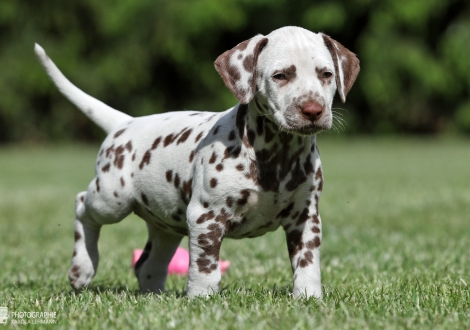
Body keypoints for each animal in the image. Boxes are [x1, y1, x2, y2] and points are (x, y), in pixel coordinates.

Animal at [35, 26, 360, 300]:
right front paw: (201, 299)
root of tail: (126, 123)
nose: (313, 110)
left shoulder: (305, 219)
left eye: (326, 74)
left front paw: (309, 298)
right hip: (112, 198)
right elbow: (205, 266)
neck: (276, 155)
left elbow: (307, 263)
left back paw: (154, 297)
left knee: (148, 264)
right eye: (281, 75)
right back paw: (81, 269)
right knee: (82, 207)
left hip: (165, 223)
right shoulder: (205, 217)